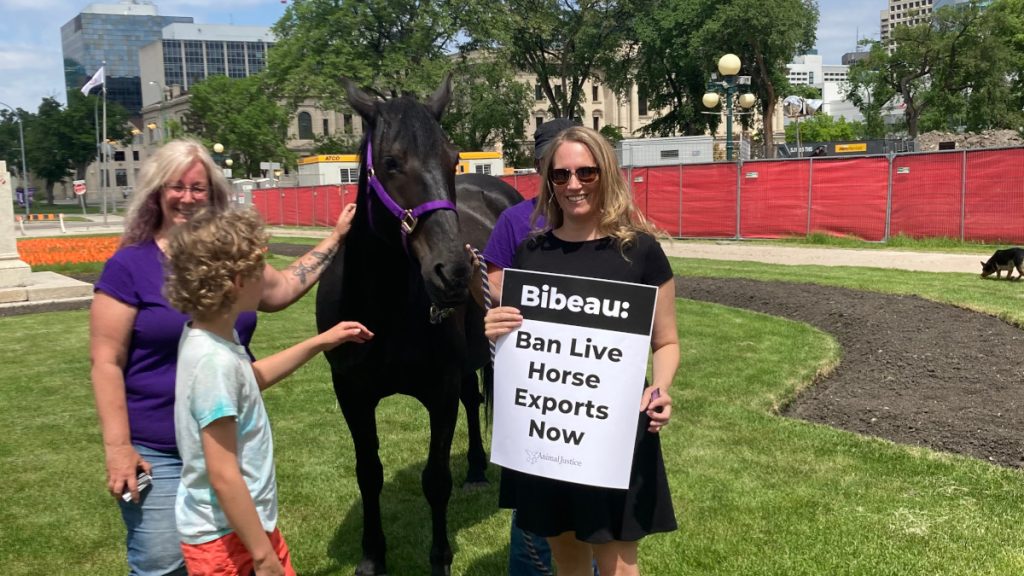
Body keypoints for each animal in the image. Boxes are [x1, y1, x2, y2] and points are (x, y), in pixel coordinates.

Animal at [315, 77, 524, 573]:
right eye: (391, 162)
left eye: (452, 158)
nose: (454, 272)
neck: (383, 308)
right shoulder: (351, 393)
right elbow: (368, 473)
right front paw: (372, 555)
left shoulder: (439, 392)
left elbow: (436, 479)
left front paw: (440, 558)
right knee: (473, 398)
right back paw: (476, 468)